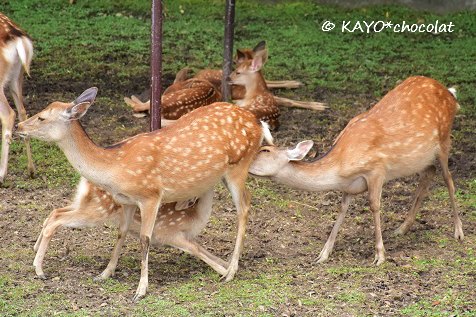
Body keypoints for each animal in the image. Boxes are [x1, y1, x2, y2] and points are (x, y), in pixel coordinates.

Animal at [34, 178, 229, 278]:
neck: (193, 218)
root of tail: (85, 181)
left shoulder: (186, 236)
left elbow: (203, 249)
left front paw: (226, 263)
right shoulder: (167, 233)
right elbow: (196, 249)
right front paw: (224, 271)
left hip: (84, 204)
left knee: (54, 212)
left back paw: (35, 250)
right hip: (96, 211)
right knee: (55, 220)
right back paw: (40, 270)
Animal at [249, 76, 464, 264]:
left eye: (265, 150)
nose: (246, 162)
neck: (341, 166)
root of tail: (450, 94)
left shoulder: (376, 170)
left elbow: (374, 206)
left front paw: (380, 256)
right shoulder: (349, 186)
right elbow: (342, 209)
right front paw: (322, 254)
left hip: (444, 140)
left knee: (448, 179)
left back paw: (458, 231)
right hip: (420, 159)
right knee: (430, 171)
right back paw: (402, 228)